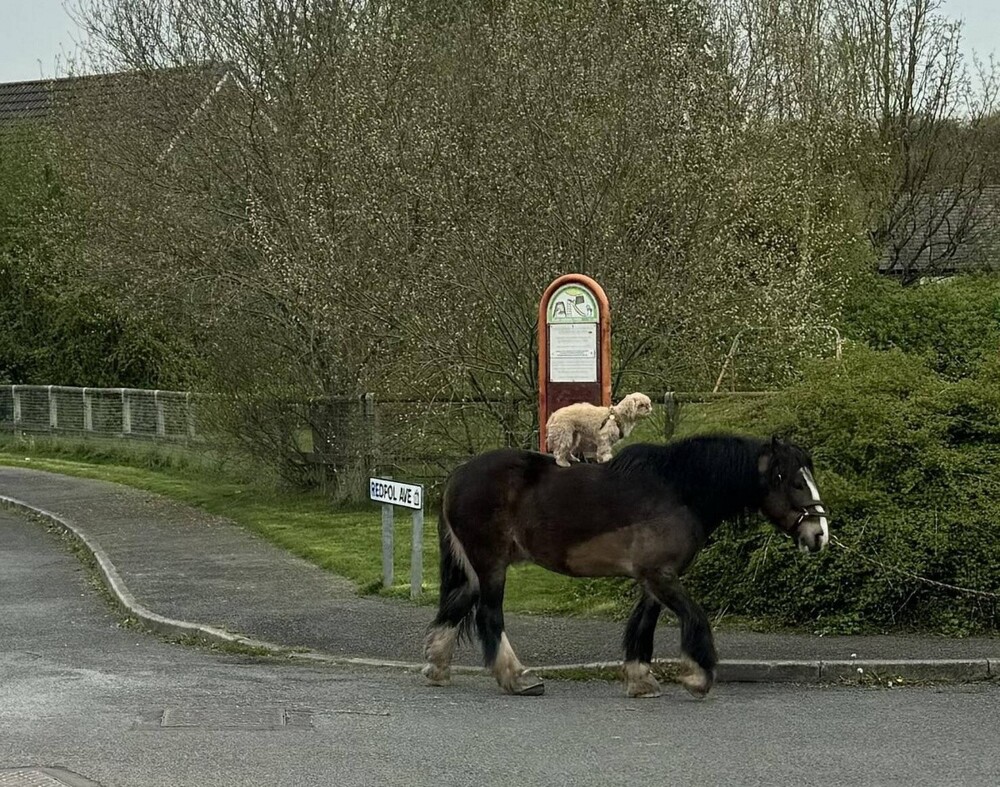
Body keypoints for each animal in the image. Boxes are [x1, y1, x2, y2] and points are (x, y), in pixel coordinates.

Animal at [422, 434, 828, 700]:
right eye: (795, 481)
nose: (819, 535)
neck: (678, 491)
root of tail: (458, 474)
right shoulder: (660, 576)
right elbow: (695, 617)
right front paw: (699, 676)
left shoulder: (654, 579)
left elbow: (643, 626)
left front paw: (641, 679)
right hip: (491, 564)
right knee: (489, 615)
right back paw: (517, 678)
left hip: (476, 567)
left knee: (457, 605)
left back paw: (437, 667)